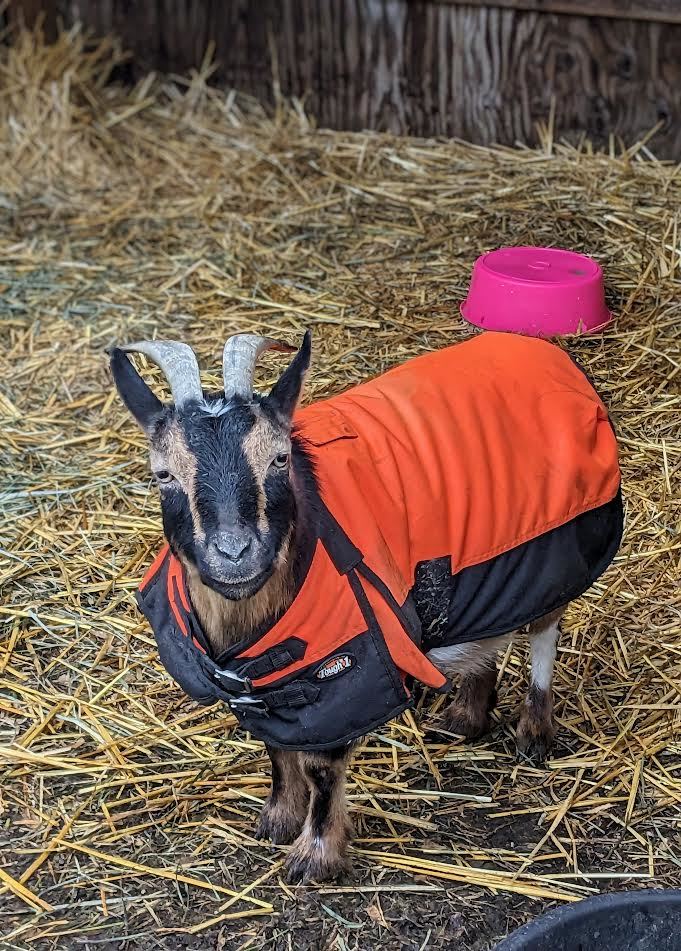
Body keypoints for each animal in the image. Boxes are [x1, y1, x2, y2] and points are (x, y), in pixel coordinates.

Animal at [110, 331, 622, 883]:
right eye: (162, 474)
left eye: (280, 459)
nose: (234, 553)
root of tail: (547, 352)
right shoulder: (269, 687)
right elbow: (276, 746)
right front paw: (277, 818)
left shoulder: (350, 674)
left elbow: (320, 764)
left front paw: (313, 856)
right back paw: (468, 712)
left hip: (554, 546)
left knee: (544, 630)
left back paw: (534, 730)